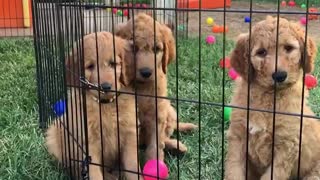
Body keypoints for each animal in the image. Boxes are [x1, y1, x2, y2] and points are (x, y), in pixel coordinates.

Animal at [45, 31, 142, 179]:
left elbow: (132, 166)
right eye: (90, 66)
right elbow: (95, 172)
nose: (105, 87)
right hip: (55, 132)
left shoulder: (130, 134)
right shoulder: (88, 142)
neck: (106, 105)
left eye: (113, 63)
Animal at [115, 13, 198, 161]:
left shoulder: (157, 112)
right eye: (133, 48)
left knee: (164, 138)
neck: (142, 87)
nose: (146, 72)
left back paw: (177, 146)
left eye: (157, 49)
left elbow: (155, 145)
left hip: (170, 110)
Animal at [224, 15, 320, 180]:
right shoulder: (238, 136)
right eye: (261, 52)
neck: (268, 97)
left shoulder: (286, 145)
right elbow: (234, 169)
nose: (280, 75)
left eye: (288, 48)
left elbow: (274, 174)